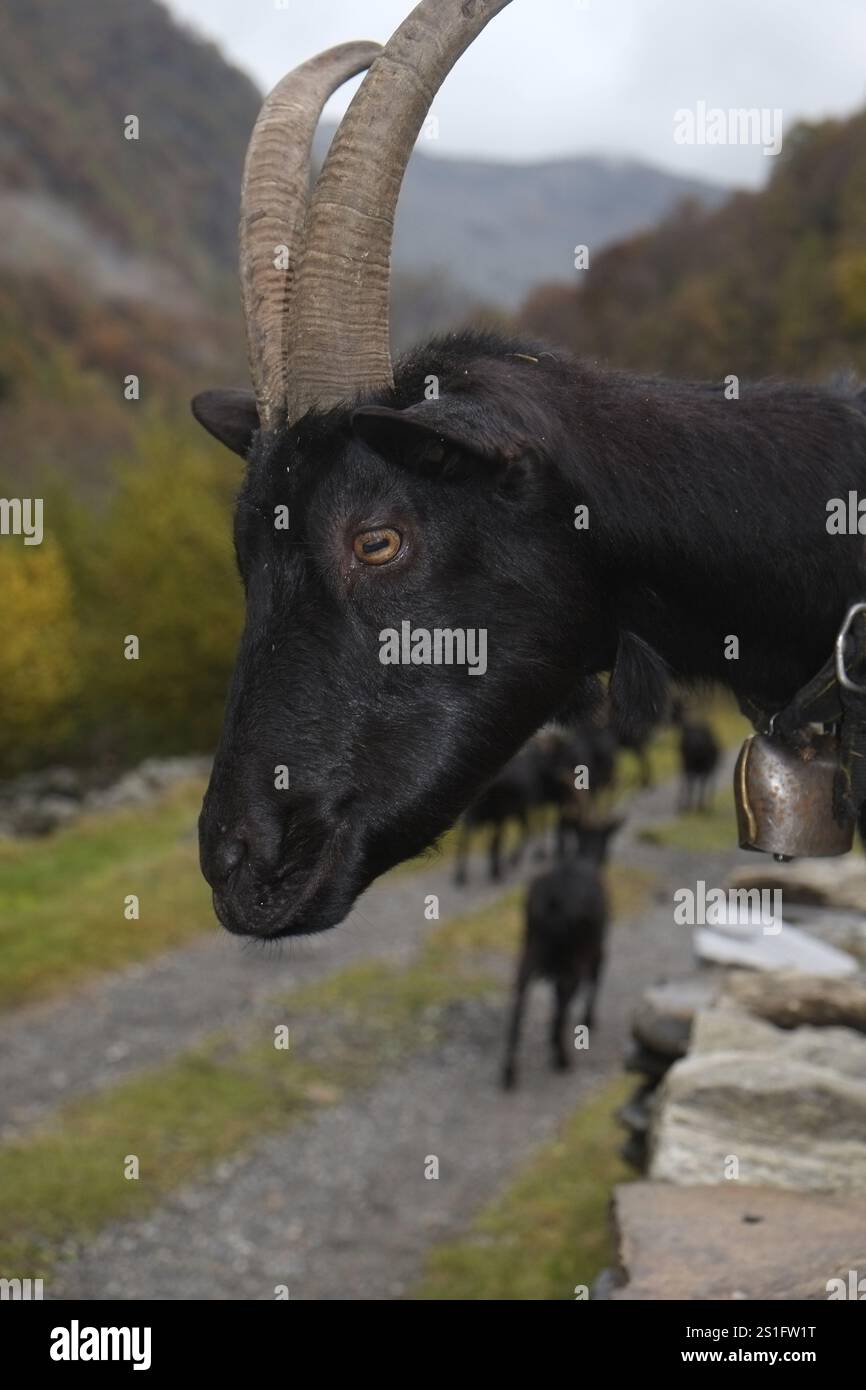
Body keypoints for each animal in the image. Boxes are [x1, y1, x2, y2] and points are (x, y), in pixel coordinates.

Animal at [501, 818, 622, 1091]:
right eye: (607, 843)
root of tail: (553, 899)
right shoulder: (598, 948)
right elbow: (594, 981)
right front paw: (589, 1020)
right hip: (573, 956)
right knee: (565, 999)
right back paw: (562, 1059)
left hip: (530, 948)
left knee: (519, 1001)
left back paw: (509, 1072)